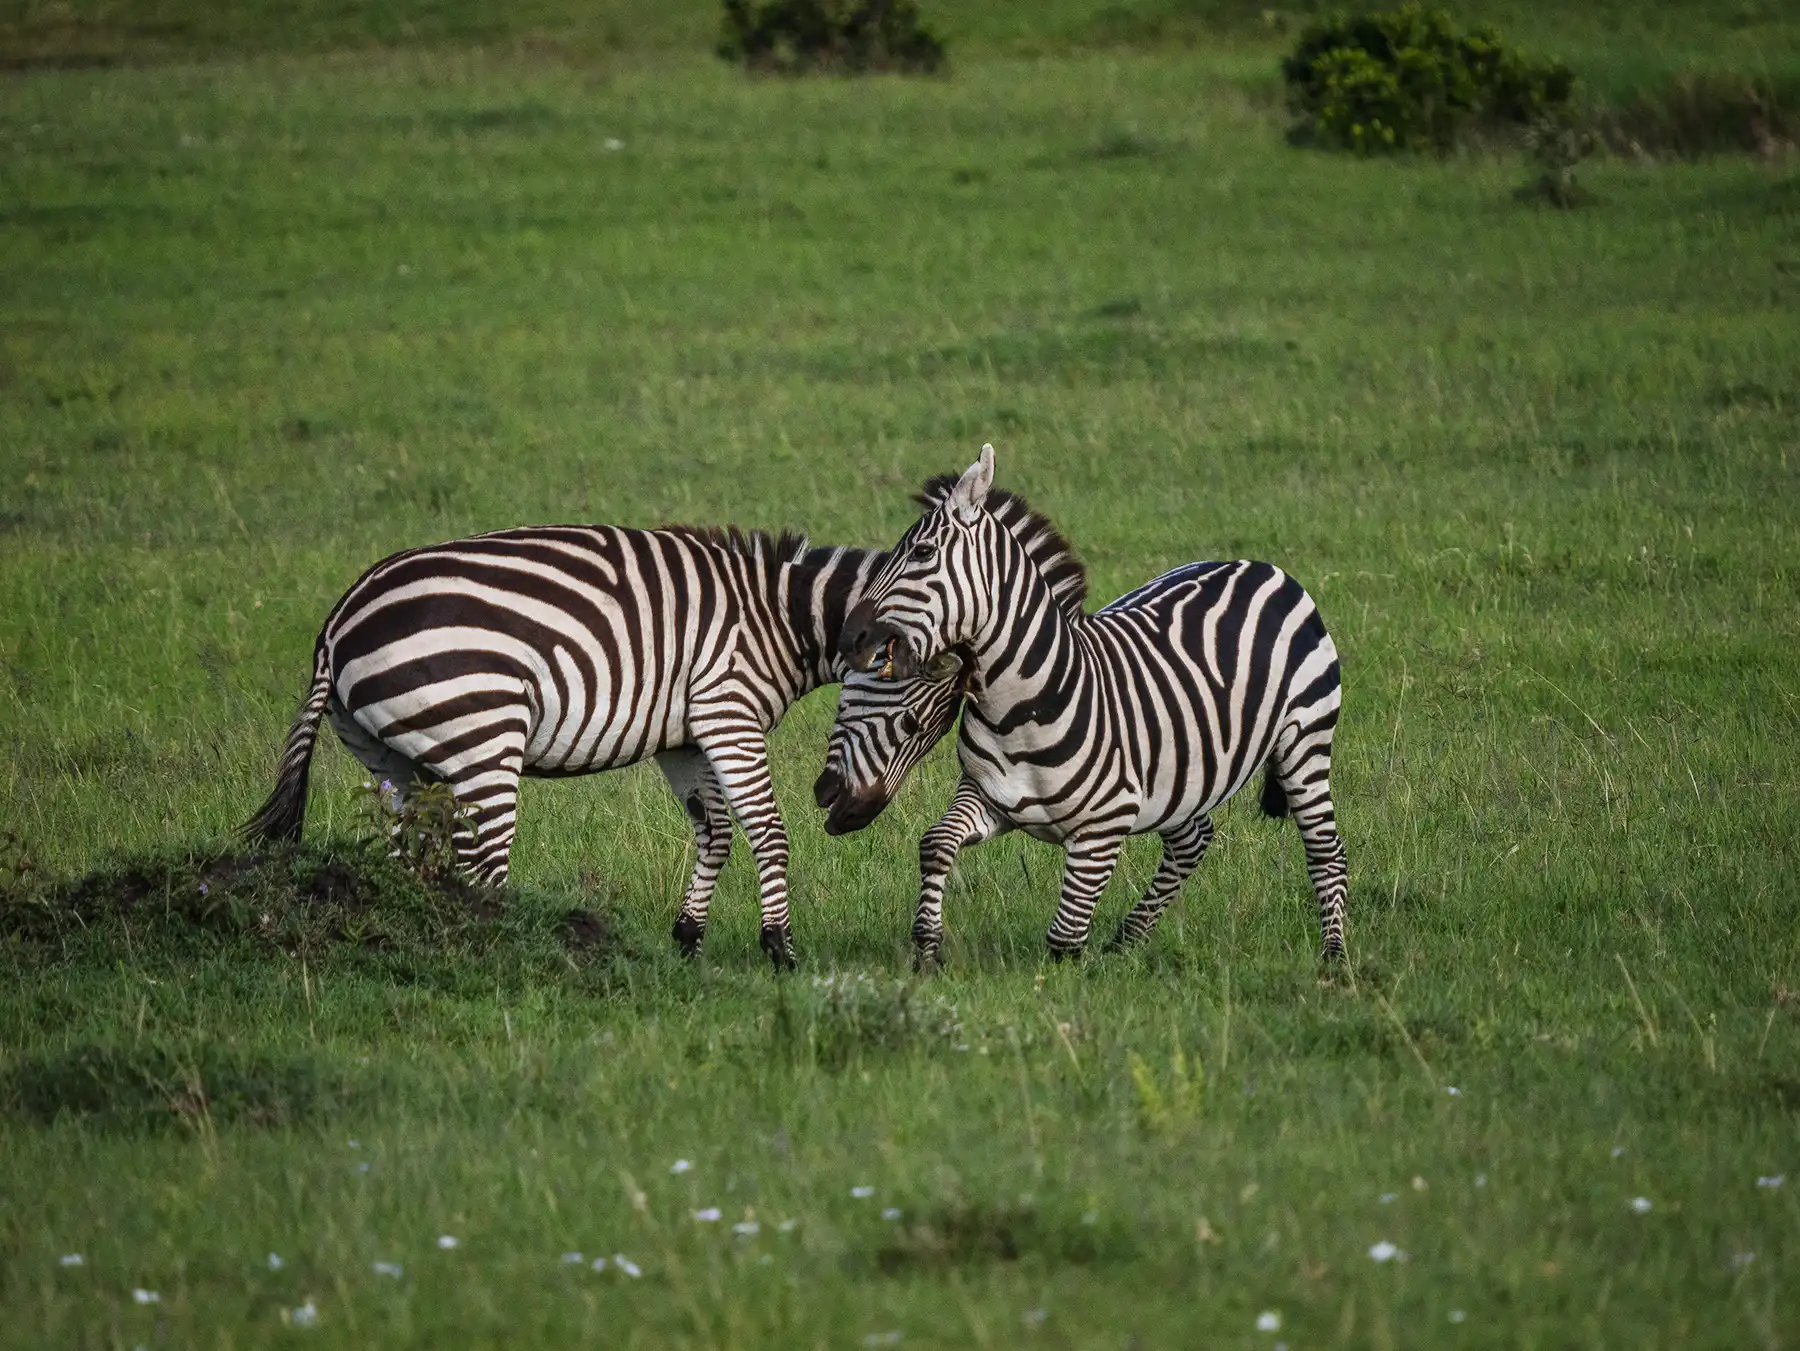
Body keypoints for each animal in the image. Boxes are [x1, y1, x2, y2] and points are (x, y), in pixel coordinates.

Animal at [242, 524, 890, 969]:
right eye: (915, 711)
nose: (851, 818)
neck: (779, 617)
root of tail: (335, 626)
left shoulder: (685, 735)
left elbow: (716, 833)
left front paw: (688, 940)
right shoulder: (727, 710)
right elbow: (767, 830)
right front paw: (780, 950)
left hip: (397, 760)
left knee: (408, 850)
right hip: (480, 731)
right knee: (481, 861)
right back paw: (501, 956)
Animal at [831, 444, 1347, 965]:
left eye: (922, 552)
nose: (848, 636)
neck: (1020, 713)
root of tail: (1262, 567)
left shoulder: (1103, 829)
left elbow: (1063, 942)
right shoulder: (989, 797)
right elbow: (935, 842)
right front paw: (928, 944)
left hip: (1305, 742)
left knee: (1327, 852)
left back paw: (1334, 957)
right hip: (1178, 776)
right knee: (1193, 840)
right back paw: (1127, 942)